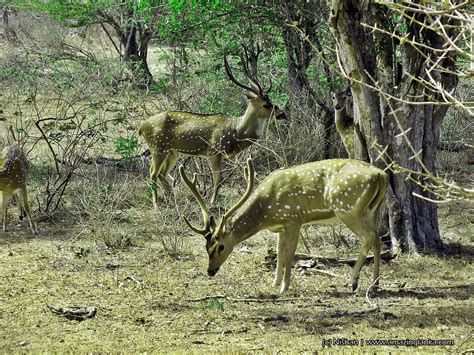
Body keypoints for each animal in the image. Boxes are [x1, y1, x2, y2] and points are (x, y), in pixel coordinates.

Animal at [137, 51, 286, 207]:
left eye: (270, 100)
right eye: (265, 104)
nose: (283, 114)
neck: (236, 132)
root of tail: (142, 126)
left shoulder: (223, 157)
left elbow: (221, 178)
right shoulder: (213, 151)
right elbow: (218, 178)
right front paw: (212, 202)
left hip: (172, 151)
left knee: (162, 173)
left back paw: (173, 201)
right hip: (157, 147)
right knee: (153, 173)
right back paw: (156, 204)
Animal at [180, 159, 386, 294]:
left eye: (221, 246)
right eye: (206, 247)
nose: (210, 271)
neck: (266, 212)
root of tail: (381, 175)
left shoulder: (293, 218)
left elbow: (289, 252)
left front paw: (284, 287)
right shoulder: (280, 226)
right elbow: (278, 252)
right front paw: (275, 282)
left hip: (347, 209)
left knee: (368, 237)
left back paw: (354, 281)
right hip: (371, 211)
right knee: (376, 239)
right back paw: (375, 284)